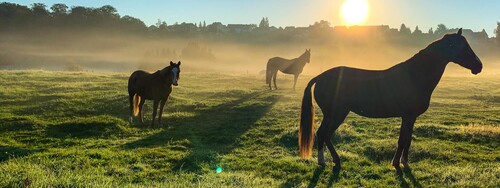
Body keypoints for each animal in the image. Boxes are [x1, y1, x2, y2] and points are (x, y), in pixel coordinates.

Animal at [298, 29, 482, 172]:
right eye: (462, 47)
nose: (479, 66)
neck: (415, 75)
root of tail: (320, 77)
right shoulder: (408, 116)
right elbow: (403, 140)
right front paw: (399, 164)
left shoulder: (409, 117)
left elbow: (406, 140)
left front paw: (402, 162)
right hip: (336, 113)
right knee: (323, 134)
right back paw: (325, 161)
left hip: (334, 114)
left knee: (324, 135)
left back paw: (332, 161)